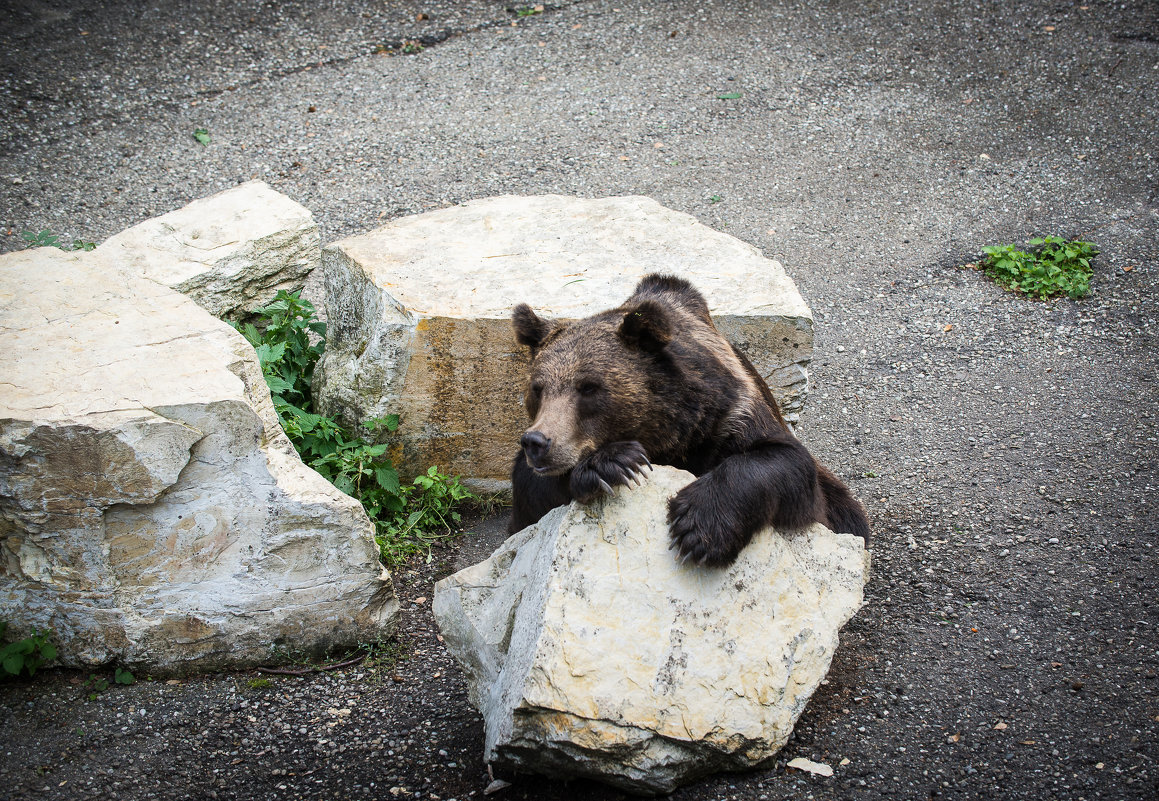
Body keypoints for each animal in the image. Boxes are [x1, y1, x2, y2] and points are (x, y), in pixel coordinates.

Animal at [507, 272, 871, 568]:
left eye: (589, 387)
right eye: (538, 388)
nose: (538, 442)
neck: (668, 432)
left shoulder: (731, 417)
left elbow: (785, 462)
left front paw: (699, 529)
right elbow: (529, 494)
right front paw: (612, 464)